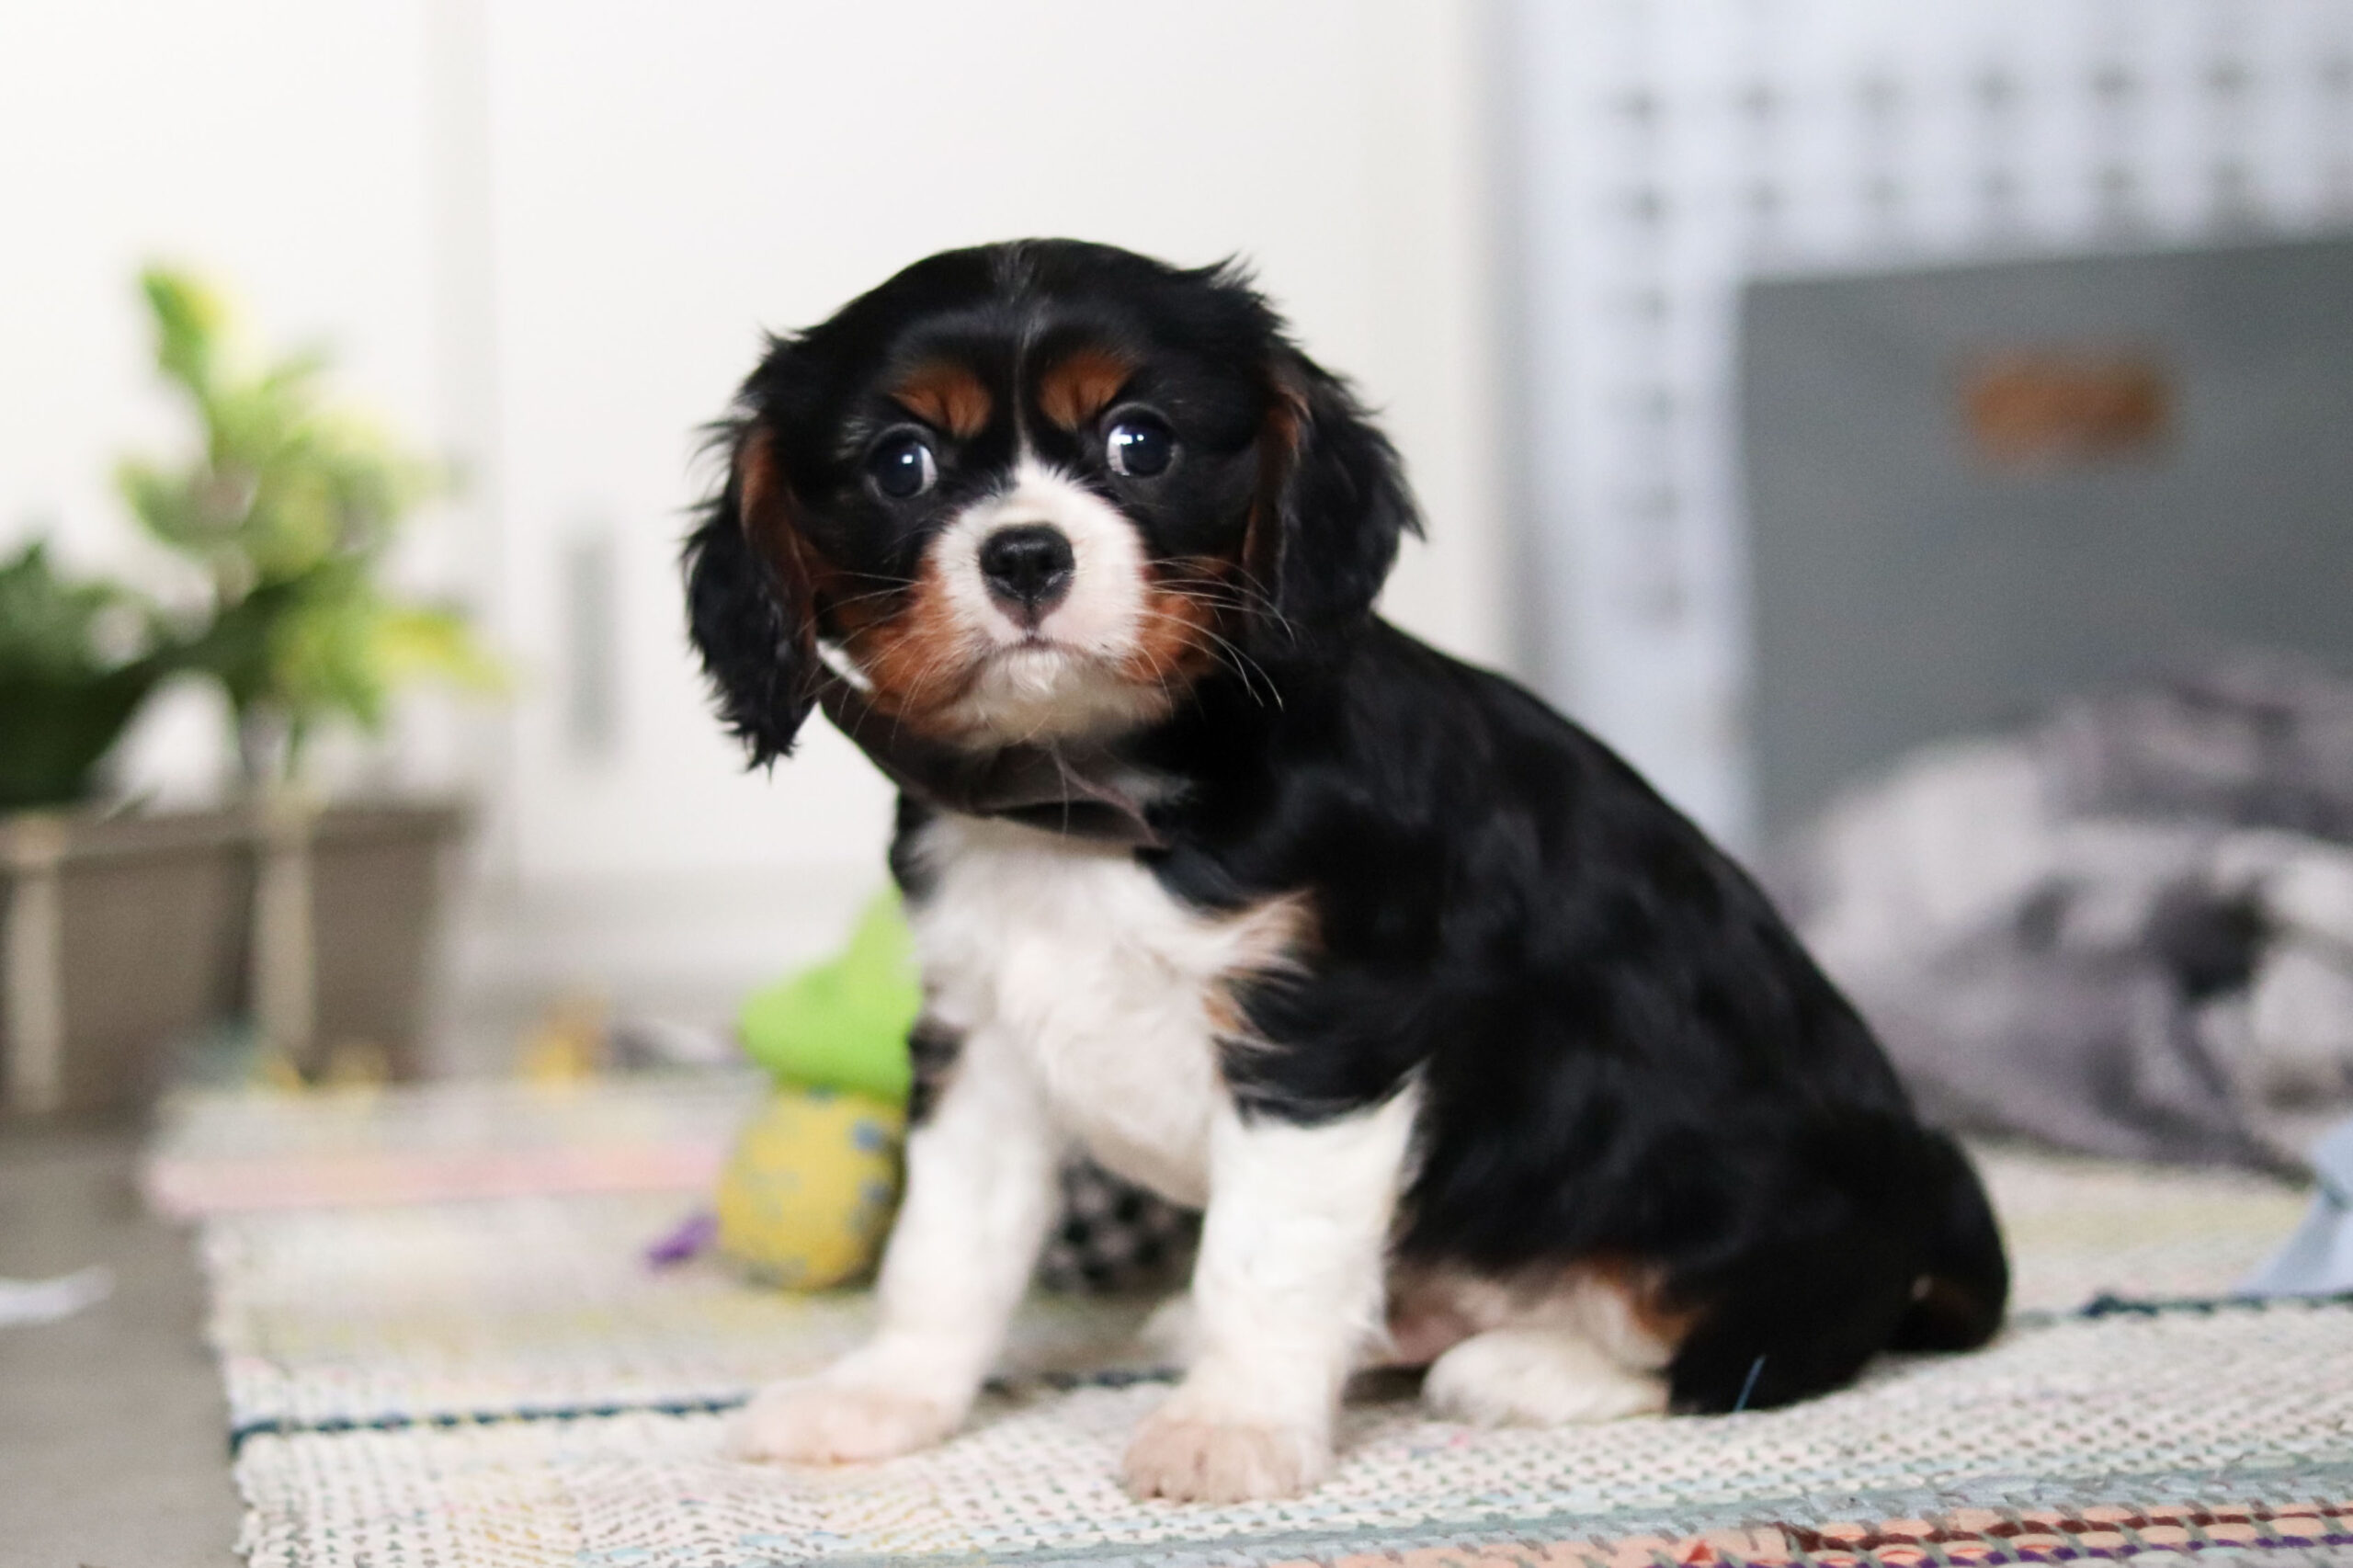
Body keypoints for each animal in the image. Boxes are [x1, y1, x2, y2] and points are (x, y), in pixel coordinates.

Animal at [684, 239, 2008, 1504]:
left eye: (1140, 441)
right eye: (902, 464)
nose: (1024, 556)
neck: (1085, 796)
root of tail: (1933, 1193)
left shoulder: (1321, 1036)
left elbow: (1265, 1254)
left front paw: (1234, 1426)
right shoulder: (982, 1038)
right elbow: (944, 1245)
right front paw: (883, 1396)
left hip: (1701, 1189)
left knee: (1755, 1348)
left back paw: (1530, 1365)